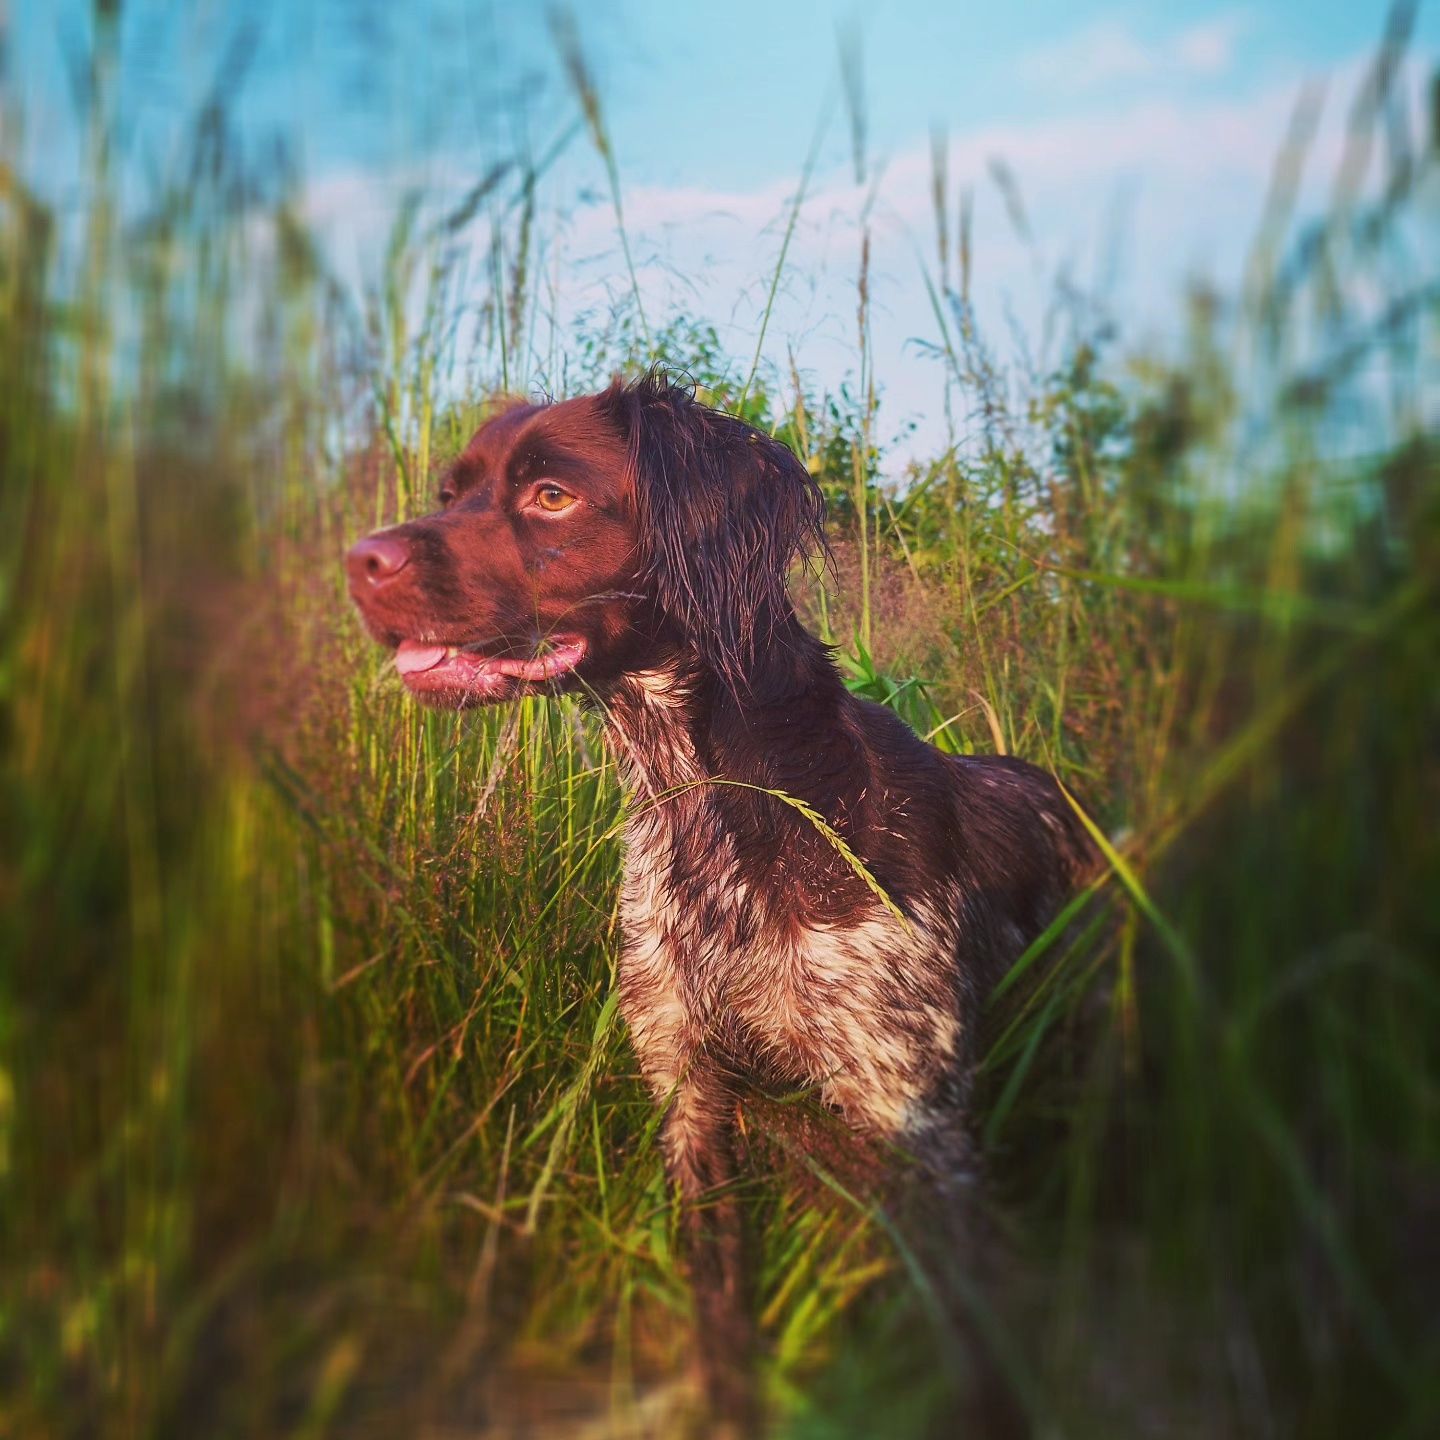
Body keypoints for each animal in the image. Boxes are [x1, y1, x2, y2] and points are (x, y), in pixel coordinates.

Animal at [345, 371, 1088, 1428]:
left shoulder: (921, 1130)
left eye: (551, 497)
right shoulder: (692, 1101)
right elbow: (722, 1318)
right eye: (452, 493)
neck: (711, 799)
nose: (358, 562)